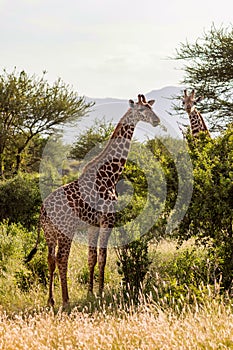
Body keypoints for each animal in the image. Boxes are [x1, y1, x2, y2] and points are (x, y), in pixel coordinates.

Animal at [26, 94, 160, 308]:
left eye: (151, 108)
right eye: (141, 110)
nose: (156, 121)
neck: (109, 175)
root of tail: (43, 211)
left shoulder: (93, 224)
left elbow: (92, 257)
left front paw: (90, 292)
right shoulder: (108, 219)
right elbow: (104, 257)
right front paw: (101, 291)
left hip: (49, 234)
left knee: (50, 259)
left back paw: (51, 300)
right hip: (66, 231)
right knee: (62, 259)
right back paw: (66, 300)